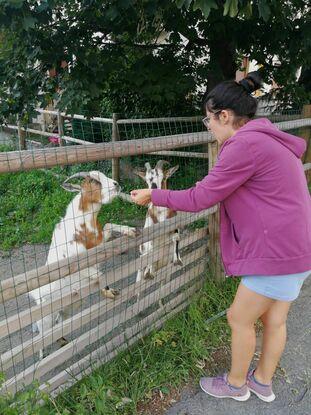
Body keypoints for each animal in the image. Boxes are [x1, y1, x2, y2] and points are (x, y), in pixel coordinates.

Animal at [29, 171, 136, 360]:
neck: (81, 224)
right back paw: (43, 357)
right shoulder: (80, 266)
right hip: (45, 317)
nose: (116, 184)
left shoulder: (99, 242)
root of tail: (36, 296)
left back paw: (63, 340)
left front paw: (129, 230)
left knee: (59, 321)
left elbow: (109, 225)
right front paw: (109, 292)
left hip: (69, 306)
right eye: (93, 180)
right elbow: (99, 275)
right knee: (42, 336)